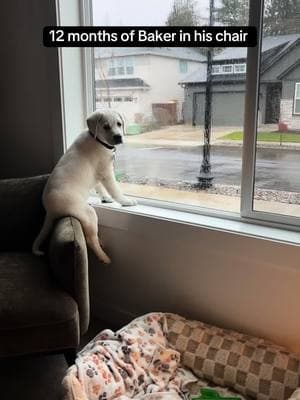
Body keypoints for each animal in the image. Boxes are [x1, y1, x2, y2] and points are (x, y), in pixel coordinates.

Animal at [32, 111, 137, 264]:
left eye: (119, 124)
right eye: (106, 127)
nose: (118, 136)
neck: (98, 140)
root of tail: (50, 210)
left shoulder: (98, 174)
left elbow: (99, 187)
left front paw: (105, 198)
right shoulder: (106, 172)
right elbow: (114, 190)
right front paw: (126, 201)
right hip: (88, 213)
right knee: (90, 239)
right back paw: (104, 257)